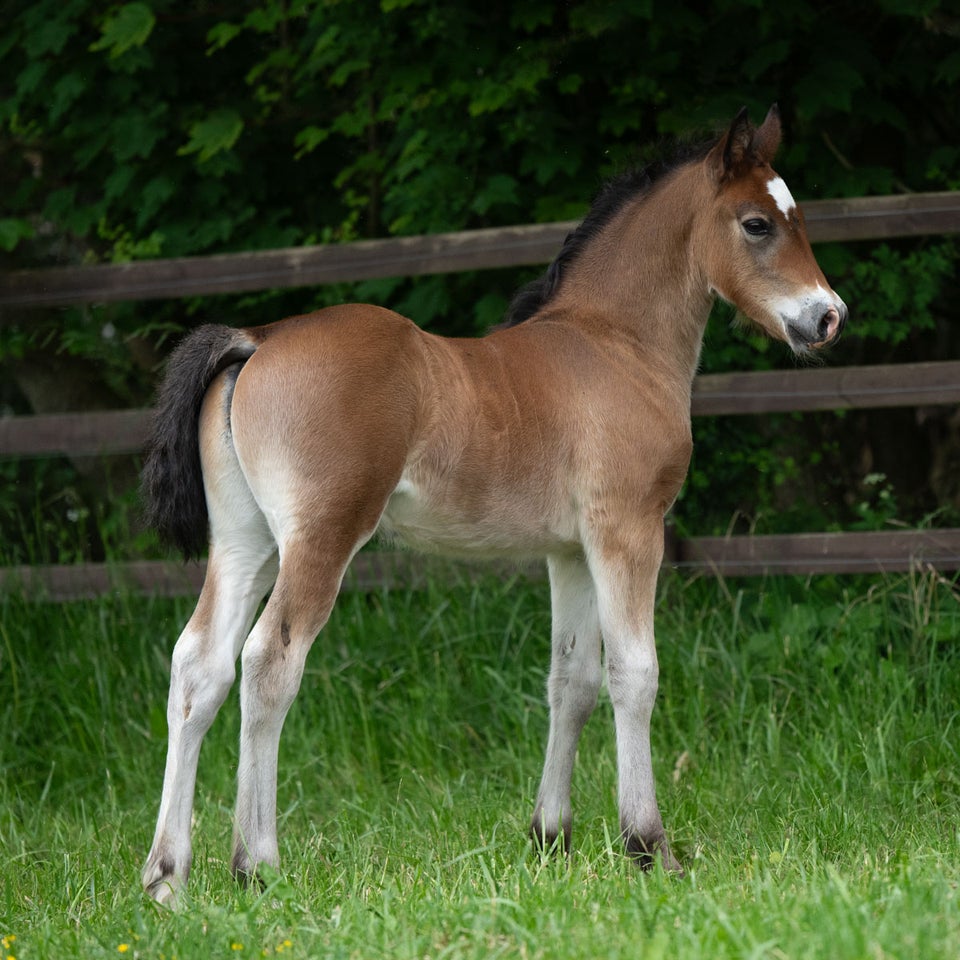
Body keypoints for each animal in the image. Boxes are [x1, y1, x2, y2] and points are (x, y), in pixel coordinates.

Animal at [139, 109, 844, 904]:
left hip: (244, 542)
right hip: (321, 536)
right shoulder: (628, 529)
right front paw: (649, 847)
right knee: (269, 662)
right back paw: (256, 864)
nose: (828, 318)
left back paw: (166, 878)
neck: (616, 344)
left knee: (200, 666)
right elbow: (635, 674)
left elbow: (572, 680)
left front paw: (550, 839)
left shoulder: (569, 551)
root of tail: (257, 341)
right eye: (757, 223)